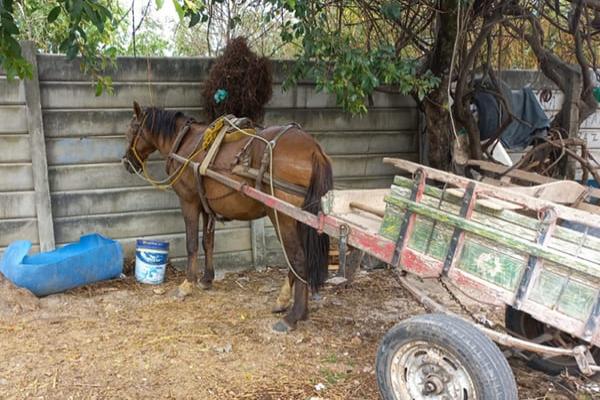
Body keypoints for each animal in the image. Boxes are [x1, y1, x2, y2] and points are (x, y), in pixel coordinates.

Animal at [122, 102, 332, 332]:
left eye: (132, 129)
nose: (126, 162)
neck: (185, 141)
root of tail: (314, 149)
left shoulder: (189, 203)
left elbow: (192, 244)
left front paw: (187, 284)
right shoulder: (206, 207)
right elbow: (208, 243)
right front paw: (206, 279)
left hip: (284, 217)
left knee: (298, 259)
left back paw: (293, 315)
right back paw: (283, 300)